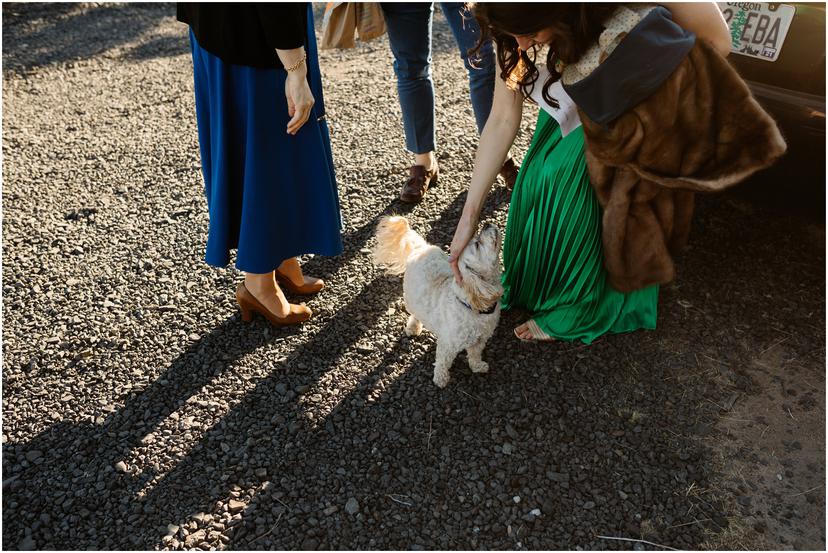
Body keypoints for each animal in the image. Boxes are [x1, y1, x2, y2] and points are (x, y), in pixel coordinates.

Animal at [372, 216, 502, 388]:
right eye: (477, 244)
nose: (486, 224)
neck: (472, 306)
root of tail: (420, 248)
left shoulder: (480, 340)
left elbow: (475, 355)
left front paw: (477, 366)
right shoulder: (448, 345)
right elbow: (442, 363)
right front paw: (441, 379)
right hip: (411, 298)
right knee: (415, 314)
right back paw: (413, 327)